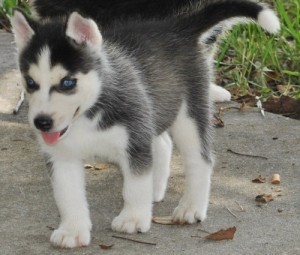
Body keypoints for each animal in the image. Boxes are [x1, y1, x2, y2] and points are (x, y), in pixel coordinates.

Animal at [10, 0, 280, 247]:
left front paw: (133, 218)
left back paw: (191, 207)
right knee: (163, 143)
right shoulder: (62, 157)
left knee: (200, 160)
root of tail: (175, 25)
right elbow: (68, 196)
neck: (88, 113)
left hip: (188, 113)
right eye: (30, 83)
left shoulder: (135, 142)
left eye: (68, 82)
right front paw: (72, 230)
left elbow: (135, 186)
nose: (42, 122)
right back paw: (156, 190)